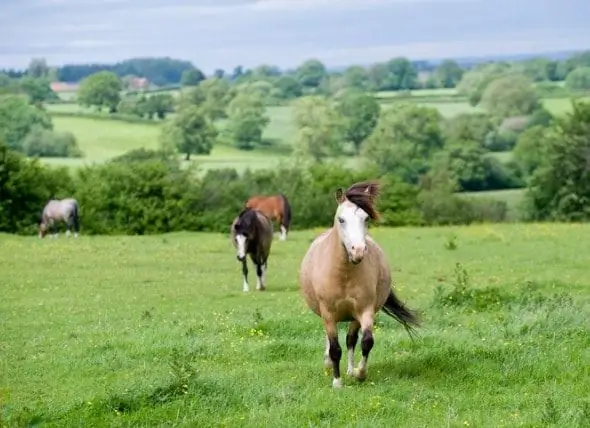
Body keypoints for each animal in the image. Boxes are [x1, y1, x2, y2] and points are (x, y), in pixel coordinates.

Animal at [300, 181, 420, 388]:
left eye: (366, 219)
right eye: (341, 219)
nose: (358, 251)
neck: (343, 275)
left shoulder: (365, 310)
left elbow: (366, 342)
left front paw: (359, 373)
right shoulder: (328, 313)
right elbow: (334, 348)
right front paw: (337, 382)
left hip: (354, 317)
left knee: (351, 340)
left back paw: (349, 369)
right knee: (332, 341)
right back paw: (329, 365)